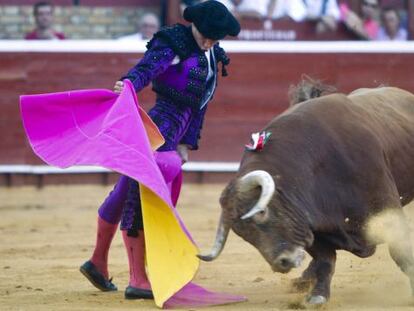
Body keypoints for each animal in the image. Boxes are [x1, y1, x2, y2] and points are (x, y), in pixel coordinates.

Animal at [197, 84, 414, 306]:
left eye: (262, 212)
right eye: (241, 233)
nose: (282, 263)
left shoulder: (387, 210)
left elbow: (401, 252)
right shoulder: (312, 227)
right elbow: (325, 260)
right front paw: (317, 296)